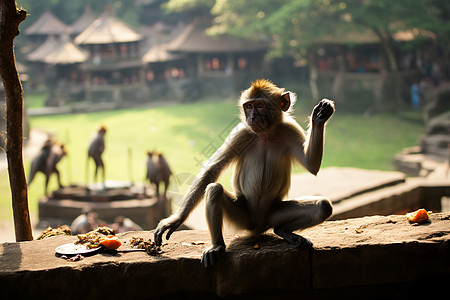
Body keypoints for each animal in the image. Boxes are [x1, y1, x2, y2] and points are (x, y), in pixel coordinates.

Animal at [155, 79, 334, 268]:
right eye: (248, 106)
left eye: (260, 105)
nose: (252, 117)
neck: (266, 134)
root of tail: (258, 226)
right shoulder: (241, 133)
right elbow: (213, 170)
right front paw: (176, 220)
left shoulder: (289, 129)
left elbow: (311, 166)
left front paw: (320, 117)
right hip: (244, 218)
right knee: (214, 190)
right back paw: (217, 246)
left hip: (273, 213)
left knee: (323, 206)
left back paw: (283, 230)